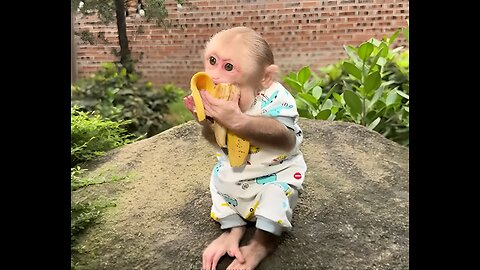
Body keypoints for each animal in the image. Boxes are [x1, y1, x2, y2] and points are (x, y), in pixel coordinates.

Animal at [184, 25, 308, 270]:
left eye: (229, 67)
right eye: (212, 60)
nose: (214, 76)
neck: (247, 101)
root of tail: (248, 215)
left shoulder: (280, 101)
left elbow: (284, 134)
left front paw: (231, 116)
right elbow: (221, 141)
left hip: (279, 193)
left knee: (273, 201)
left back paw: (252, 252)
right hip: (219, 191)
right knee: (226, 209)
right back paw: (230, 236)